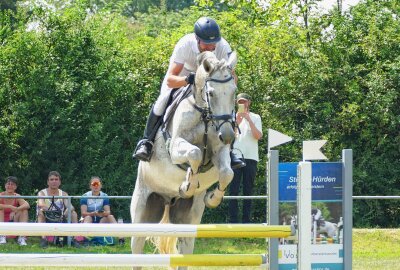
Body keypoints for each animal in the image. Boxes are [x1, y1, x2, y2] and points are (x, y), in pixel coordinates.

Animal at [130, 51, 238, 270]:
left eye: (234, 92)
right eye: (211, 93)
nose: (228, 136)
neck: (204, 115)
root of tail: (167, 200)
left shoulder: (219, 151)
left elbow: (227, 173)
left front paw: (212, 198)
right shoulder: (175, 147)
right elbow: (194, 153)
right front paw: (188, 185)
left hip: (187, 220)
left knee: (185, 247)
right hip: (142, 212)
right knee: (137, 246)